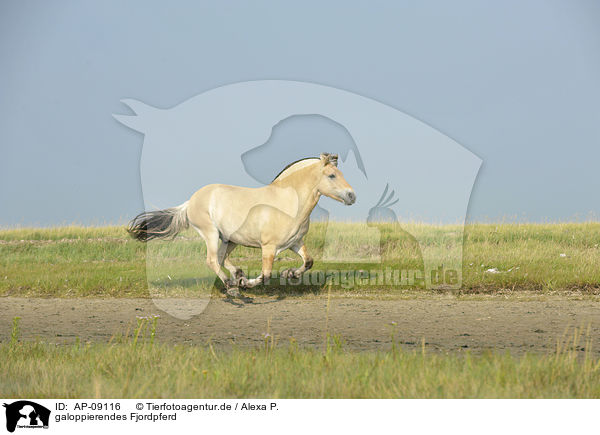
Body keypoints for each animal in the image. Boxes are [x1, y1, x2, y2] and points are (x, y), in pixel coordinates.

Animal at [127, 152, 356, 296]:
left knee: (221, 259)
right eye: (332, 175)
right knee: (212, 260)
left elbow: (308, 262)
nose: (352, 196)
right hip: (211, 234)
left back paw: (236, 276)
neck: (287, 203)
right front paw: (246, 284)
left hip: (230, 239)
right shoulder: (269, 247)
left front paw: (290, 274)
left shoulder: (295, 243)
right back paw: (232, 285)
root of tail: (191, 201)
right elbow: (265, 275)